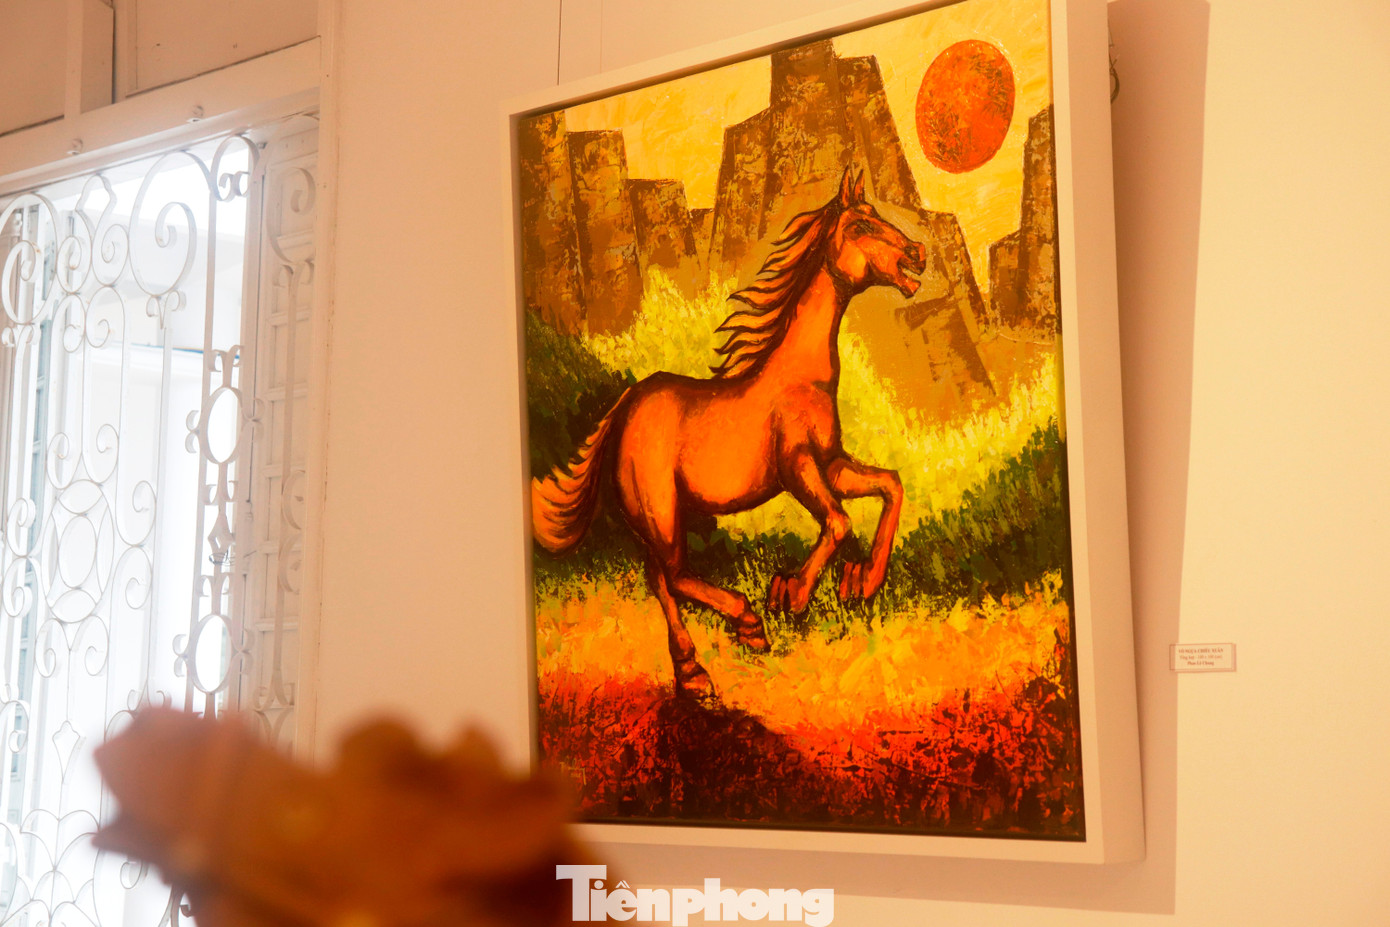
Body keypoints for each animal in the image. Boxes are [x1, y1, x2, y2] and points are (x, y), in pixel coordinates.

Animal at [531, 166, 926, 702]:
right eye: (863, 224)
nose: (918, 253)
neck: (803, 374)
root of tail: (625, 407)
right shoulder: (797, 466)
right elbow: (839, 522)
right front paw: (791, 594)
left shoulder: (833, 464)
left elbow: (891, 485)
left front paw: (861, 581)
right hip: (659, 510)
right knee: (675, 576)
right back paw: (748, 624)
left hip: (653, 520)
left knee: (661, 580)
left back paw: (694, 673)